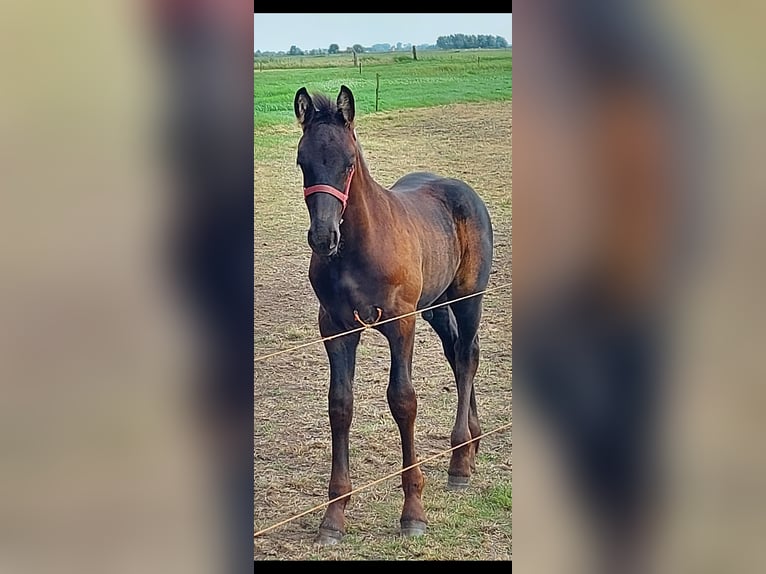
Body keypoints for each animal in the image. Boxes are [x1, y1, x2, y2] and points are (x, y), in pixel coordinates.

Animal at [294, 84, 498, 544]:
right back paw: (471, 445)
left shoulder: (399, 323)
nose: (323, 237)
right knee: (457, 354)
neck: (358, 249)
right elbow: (340, 404)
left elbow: (403, 400)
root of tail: (464, 189)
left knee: (469, 356)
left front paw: (413, 512)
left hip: (468, 296)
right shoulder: (335, 328)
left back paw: (460, 462)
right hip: (435, 306)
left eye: (349, 162)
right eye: (302, 162)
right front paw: (333, 517)